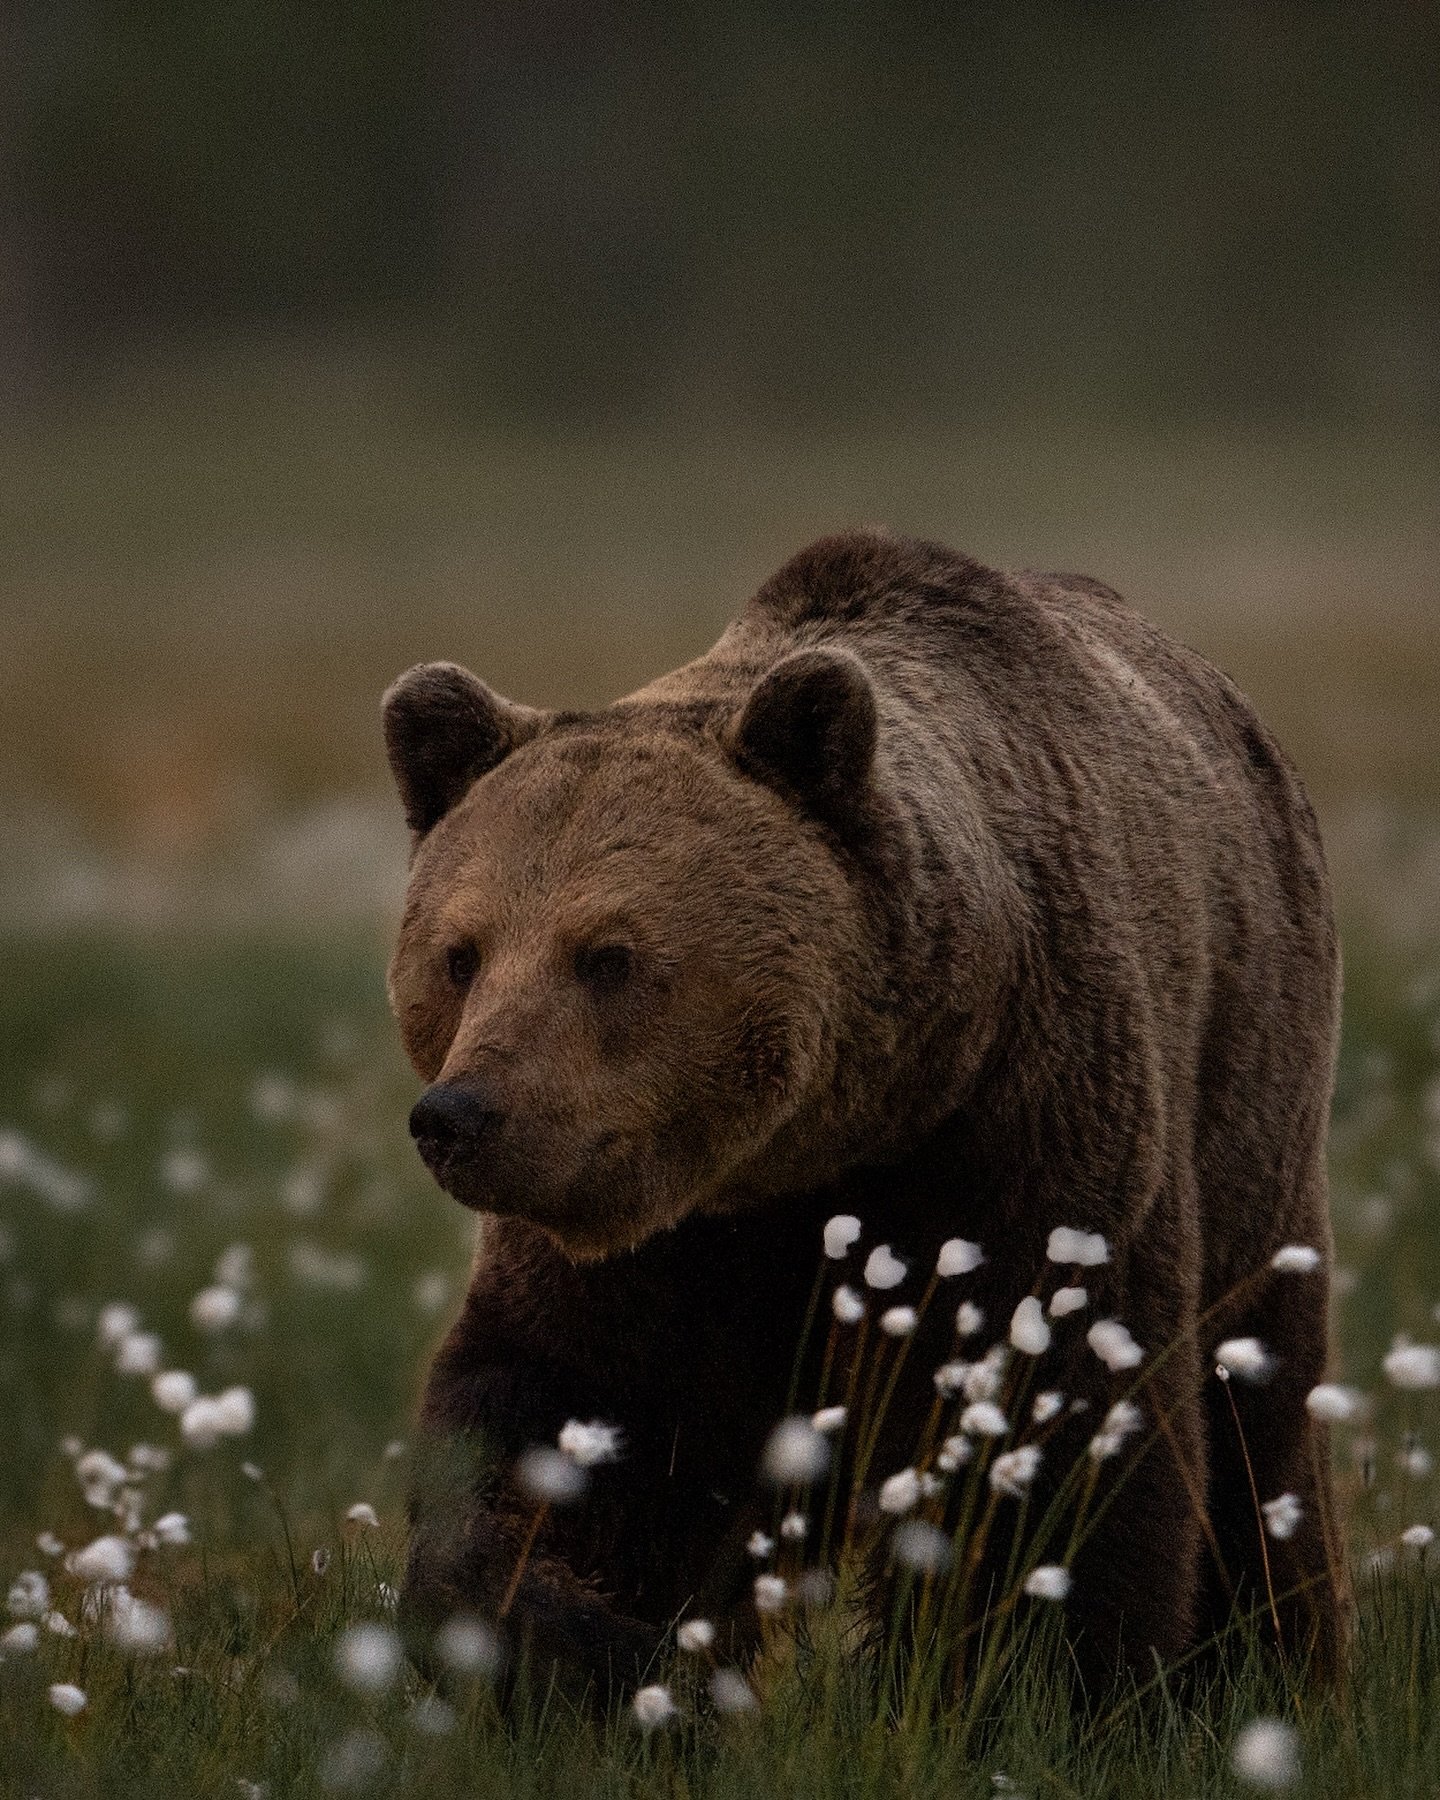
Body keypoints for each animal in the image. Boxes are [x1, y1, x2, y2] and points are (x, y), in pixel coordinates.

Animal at [382, 529, 1343, 1702]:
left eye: (608, 956)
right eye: (459, 953)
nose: (461, 1115)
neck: (816, 1150)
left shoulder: (1020, 1136)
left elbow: (1048, 1422)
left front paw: (1047, 1679)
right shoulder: (658, 1243)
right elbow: (570, 1419)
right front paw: (589, 1641)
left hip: (1254, 1112)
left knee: (1261, 1424)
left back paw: (1274, 1664)